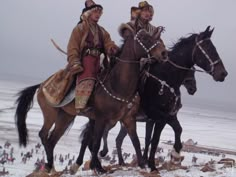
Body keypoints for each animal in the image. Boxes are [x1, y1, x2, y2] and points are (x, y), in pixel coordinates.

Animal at [14, 24, 168, 174]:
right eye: (144, 38)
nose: (163, 53)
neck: (118, 85)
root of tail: (41, 85)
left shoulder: (128, 119)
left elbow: (135, 141)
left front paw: (143, 165)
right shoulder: (100, 118)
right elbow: (96, 143)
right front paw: (97, 167)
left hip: (65, 117)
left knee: (52, 139)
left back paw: (51, 166)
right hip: (50, 114)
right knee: (44, 134)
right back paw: (50, 165)